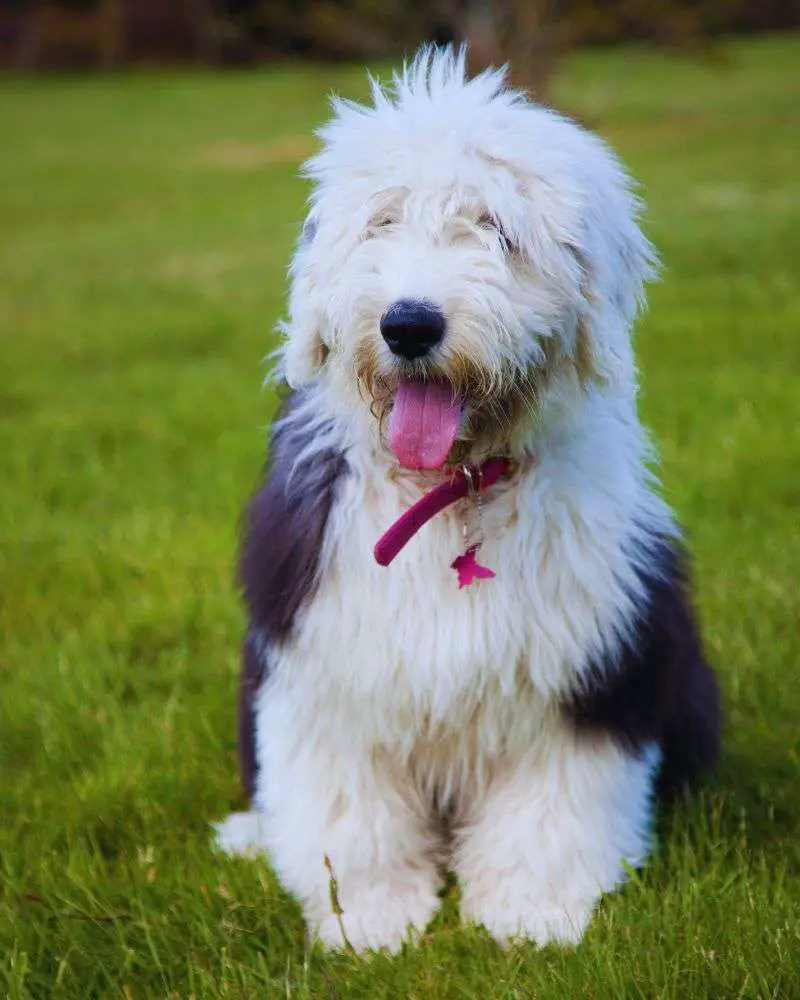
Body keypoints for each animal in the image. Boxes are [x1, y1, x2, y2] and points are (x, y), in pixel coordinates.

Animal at [212, 47, 720, 952]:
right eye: (381, 222)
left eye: (497, 230)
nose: (410, 324)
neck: (450, 495)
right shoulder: (324, 662)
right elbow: (347, 813)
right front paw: (370, 920)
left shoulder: (586, 668)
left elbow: (552, 808)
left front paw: (532, 914)